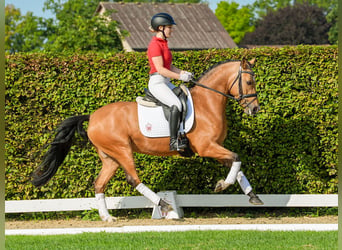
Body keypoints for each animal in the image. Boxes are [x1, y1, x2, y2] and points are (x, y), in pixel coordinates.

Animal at [31, 58, 262, 221]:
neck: (207, 103)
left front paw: (252, 196)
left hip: (110, 158)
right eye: (249, 81)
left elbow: (236, 165)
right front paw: (222, 185)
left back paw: (107, 217)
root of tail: (93, 116)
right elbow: (237, 158)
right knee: (133, 179)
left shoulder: (217, 147)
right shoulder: (207, 147)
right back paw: (165, 205)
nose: (255, 109)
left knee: (99, 184)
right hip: (122, 150)